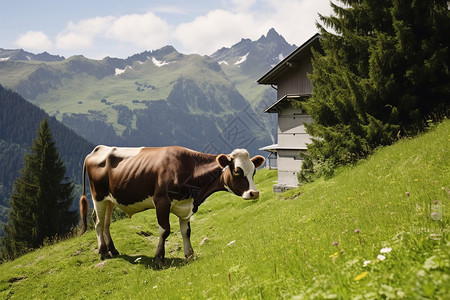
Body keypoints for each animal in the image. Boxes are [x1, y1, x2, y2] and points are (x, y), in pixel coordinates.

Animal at [79, 145, 266, 268]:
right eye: (237, 171)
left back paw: (113, 249)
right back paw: (104, 252)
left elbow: (186, 231)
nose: (254, 193)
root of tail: (98, 149)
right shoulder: (161, 201)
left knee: (106, 223)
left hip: (110, 199)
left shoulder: (186, 205)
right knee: (98, 223)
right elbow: (165, 230)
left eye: (253, 171)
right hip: (98, 196)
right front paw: (159, 258)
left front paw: (190, 254)